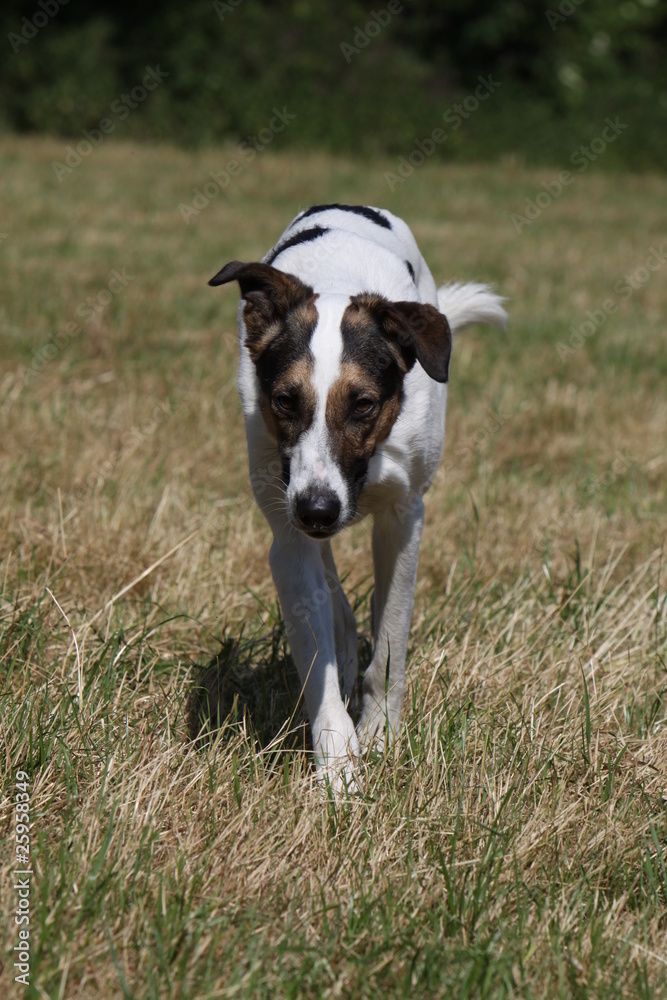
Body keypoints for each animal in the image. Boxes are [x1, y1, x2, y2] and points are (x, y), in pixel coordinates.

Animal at [209, 203, 506, 780]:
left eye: (364, 404)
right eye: (284, 400)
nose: (319, 510)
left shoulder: (403, 519)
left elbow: (390, 638)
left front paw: (380, 735)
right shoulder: (288, 529)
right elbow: (315, 649)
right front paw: (339, 764)